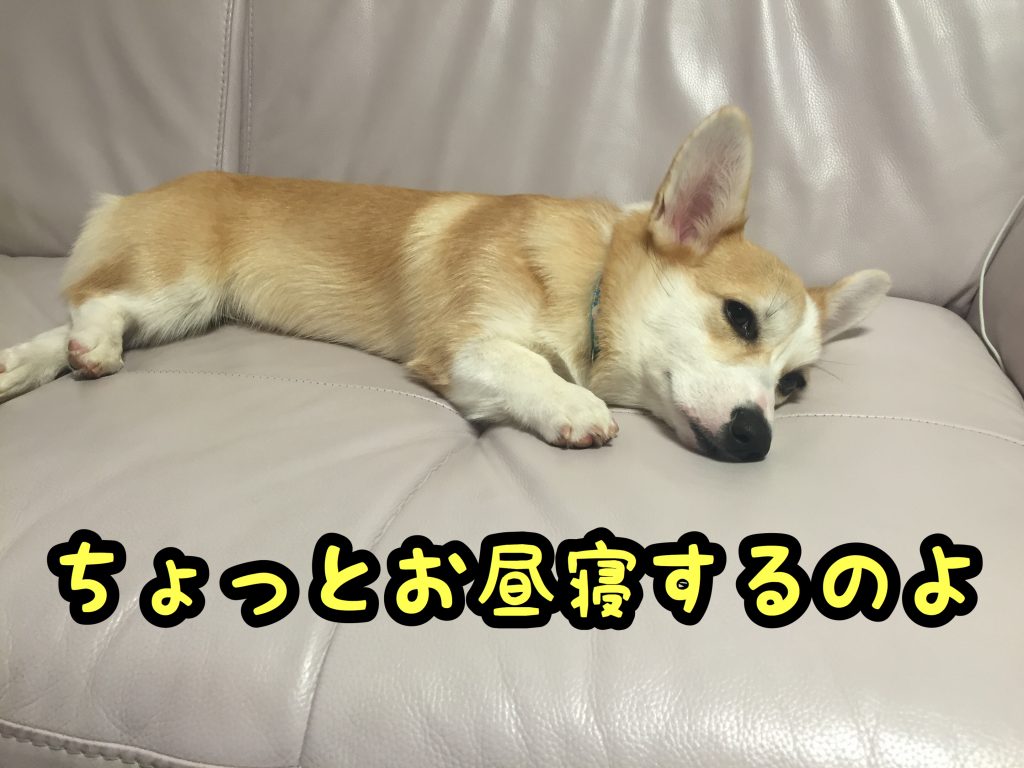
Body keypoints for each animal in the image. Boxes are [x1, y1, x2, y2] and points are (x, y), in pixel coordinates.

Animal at [0, 107, 889, 460]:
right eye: (740, 319)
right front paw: (575, 407)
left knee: (71, 319)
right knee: (95, 301)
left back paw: (27, 364)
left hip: (185, 311)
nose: (757, 439)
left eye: (796, 385)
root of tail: (131, 196)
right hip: (181, 289)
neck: (592, 288)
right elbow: (529, 368)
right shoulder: (464, 344)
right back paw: (88, 347)